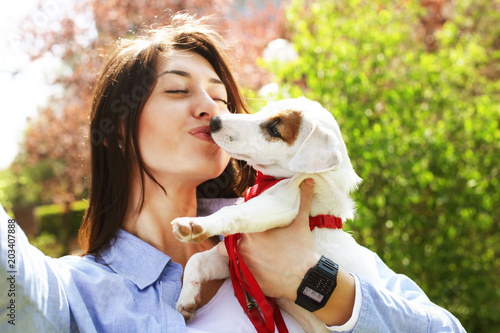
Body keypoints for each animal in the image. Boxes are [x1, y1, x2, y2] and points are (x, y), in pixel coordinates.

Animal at [173, 96, 378, 332]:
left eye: (274, 130)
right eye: (263, 110)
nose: (214, 121)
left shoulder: (281, 203)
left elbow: (231, 211)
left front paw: (195, 224)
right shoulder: (234, 260)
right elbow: (197, 259)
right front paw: (187, 298)